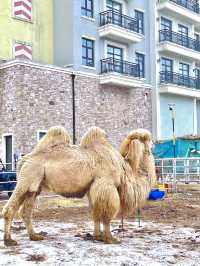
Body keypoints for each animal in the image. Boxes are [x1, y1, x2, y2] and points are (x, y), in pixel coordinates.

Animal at [2, 125, 156, 246]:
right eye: (146, 139)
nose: (154, 145)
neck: (124, 168)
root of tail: (23, 160)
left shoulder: (92, 188)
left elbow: (95, 212)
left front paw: (97, 236)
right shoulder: (106, 185)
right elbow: (106, 212)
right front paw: (110, 238)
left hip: (35, 186)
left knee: (26, 211)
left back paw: (35, 236)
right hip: (27, 179)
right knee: (10, 208)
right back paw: (9, 240)